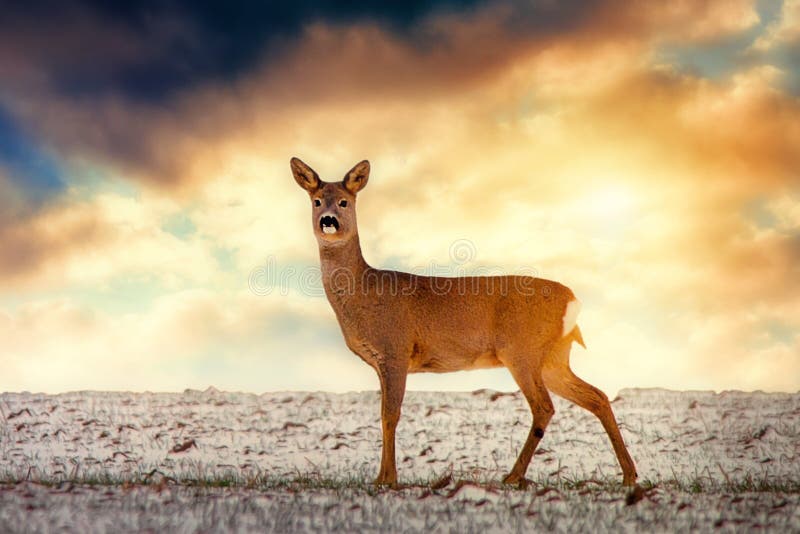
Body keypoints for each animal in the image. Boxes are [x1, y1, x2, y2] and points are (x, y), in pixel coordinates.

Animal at [288, 156, 636, 490]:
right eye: (316, 200)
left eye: (344, 201)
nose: (328, 220)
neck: (364, 292)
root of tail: (573, 300)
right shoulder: (382, 361)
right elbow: (386, 414)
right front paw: (385, 476)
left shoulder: (396, 350)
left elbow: (390, 415)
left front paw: (386, 478)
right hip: (552, 357)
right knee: (596, 396)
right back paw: (629, 475)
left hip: (520, 350)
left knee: (544, 406)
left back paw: (513, 476)